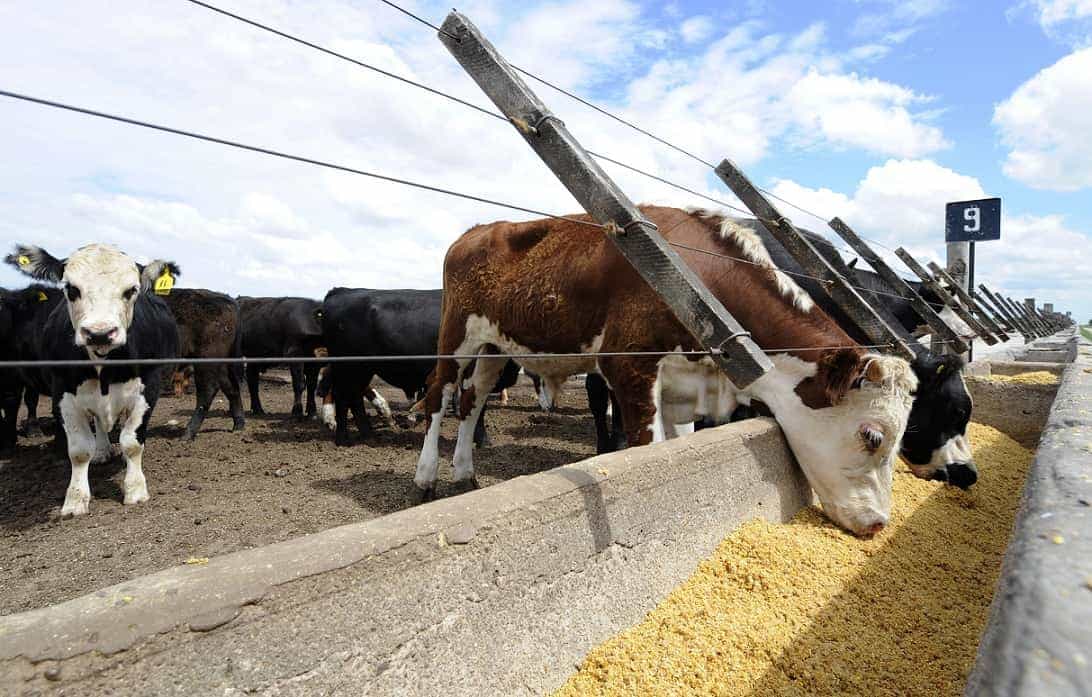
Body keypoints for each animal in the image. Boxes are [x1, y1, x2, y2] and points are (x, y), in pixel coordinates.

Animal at [5, 244, 180, 517]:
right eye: (71, 289)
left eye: (131, 290)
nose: (100, 333)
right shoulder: (63, 392)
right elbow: (79, 450)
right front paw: (75, 500)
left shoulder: (149, 386)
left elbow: (132, 441)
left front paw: (135, 490)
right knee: (98, 421)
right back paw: (102, 450)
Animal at [162, 288, 246, 439]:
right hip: (220, 362)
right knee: (231, 386)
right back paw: (238, 426)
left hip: (206, 358)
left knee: (208, 390)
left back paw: (187, 434)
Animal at [415, 206, 917, 537]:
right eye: (873, 436)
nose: (879, 524)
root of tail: (477, 230)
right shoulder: (629, 369)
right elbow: (645, 447)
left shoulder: (683, 386)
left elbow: (678, 444)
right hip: (456, 334)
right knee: (440, 393)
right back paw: (426, 478)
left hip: (494, 348)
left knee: (472, 399)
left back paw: (464, 474)